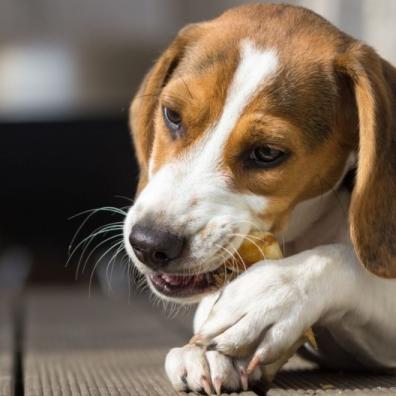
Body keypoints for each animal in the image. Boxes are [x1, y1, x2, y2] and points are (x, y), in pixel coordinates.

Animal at [123, 3, 396, 392]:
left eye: (267, 153)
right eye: (172, 116)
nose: (149, 243)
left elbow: (341, 260)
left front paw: (268, 297)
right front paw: (205, 352)